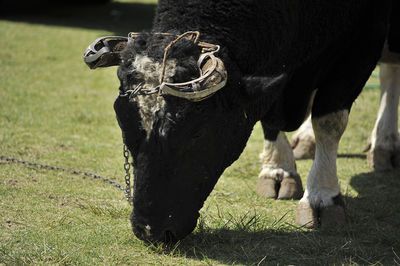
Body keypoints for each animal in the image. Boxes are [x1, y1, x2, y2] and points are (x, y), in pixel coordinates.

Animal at [85, 0, 394, 242]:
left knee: (390, 75)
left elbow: (329, 120)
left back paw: (384, 146)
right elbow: (269, 117)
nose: (151, 230)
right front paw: (278, 170)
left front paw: (322, 196)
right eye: (125, 128)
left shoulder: (364, 42)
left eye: (196, 132)